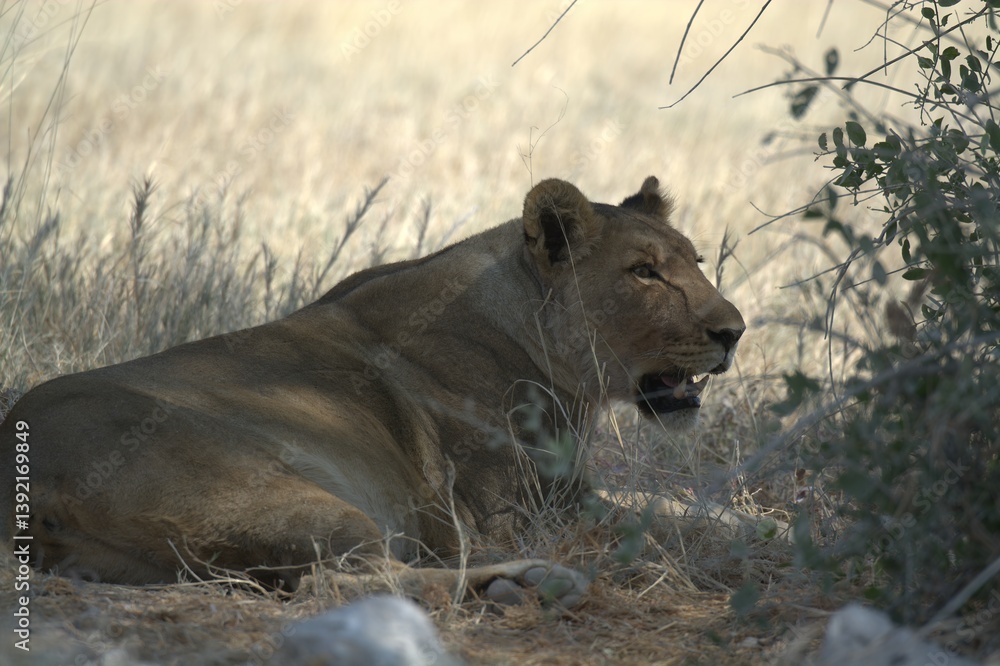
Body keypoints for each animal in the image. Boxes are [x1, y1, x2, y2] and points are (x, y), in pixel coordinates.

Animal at [0, 176, 744, 607]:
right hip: (295, 494)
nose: (735, 331)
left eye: (697, 261)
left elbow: (681, 507)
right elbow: (658, 518)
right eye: (644, 272)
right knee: (336, 583)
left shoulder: (564, 489)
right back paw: (528, 582)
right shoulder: (520, 512)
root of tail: (28, 476)